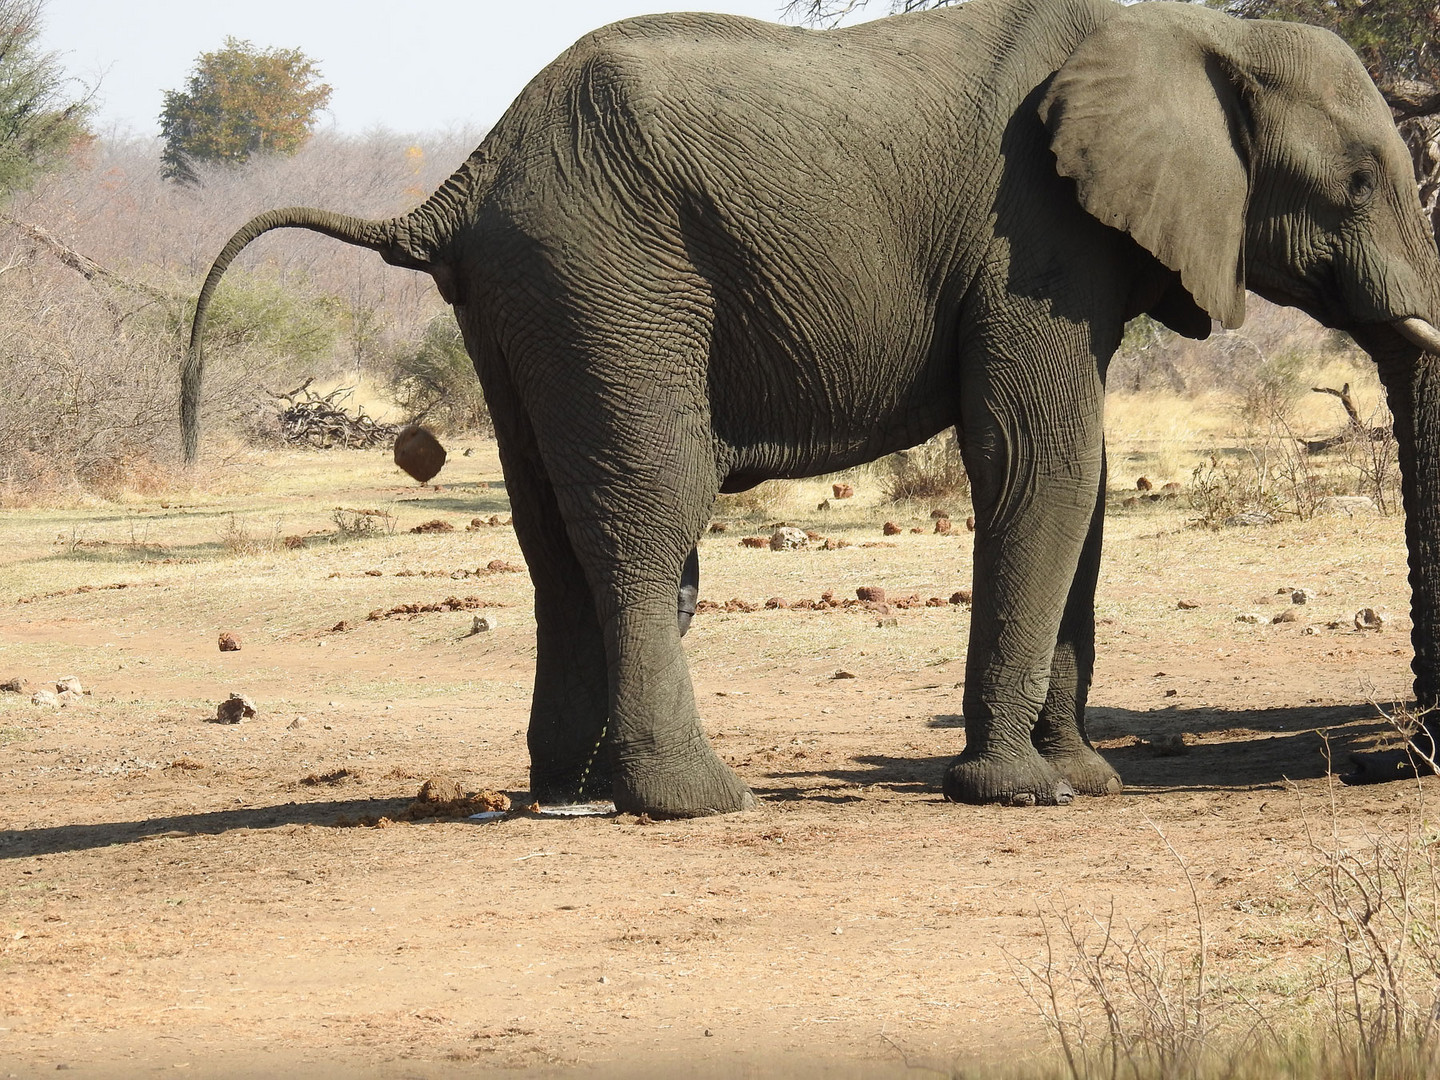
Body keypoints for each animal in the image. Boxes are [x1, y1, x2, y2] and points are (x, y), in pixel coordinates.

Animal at [180, 0, 1440, 817]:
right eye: (1357, 183)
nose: (1386, 765)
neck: (1198, 32)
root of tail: (462, 182)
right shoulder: (1030, 236)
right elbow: (1039, 459)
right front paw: (1021, 794)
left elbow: (1077, 482)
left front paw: (1086, 781)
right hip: (607, 278)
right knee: (648, 513)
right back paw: (700, 802)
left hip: (520, 304)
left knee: (552, 534)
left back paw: (571, 798)